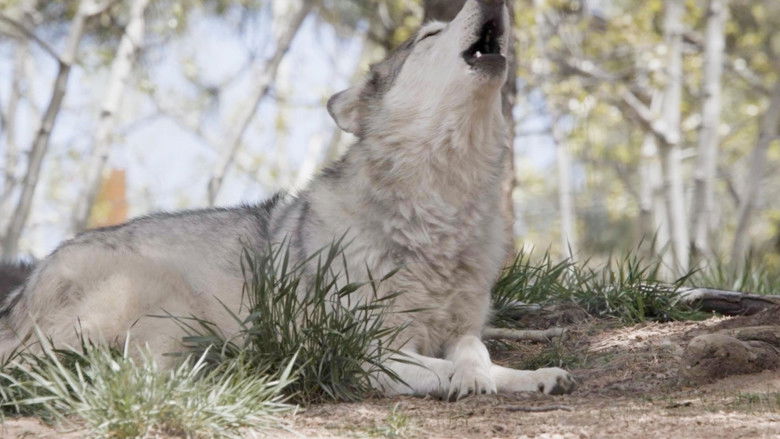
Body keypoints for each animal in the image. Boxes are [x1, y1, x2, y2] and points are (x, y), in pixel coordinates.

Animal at [0, 0, 574, 399]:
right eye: (431, 33)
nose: (495, 0)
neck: (442, 210)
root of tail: (21, 294)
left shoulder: (461, 325)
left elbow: (475, 350)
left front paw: (524, 375)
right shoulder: (363, 349)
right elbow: (443, 366)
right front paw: (468, 380)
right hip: (160, 296)